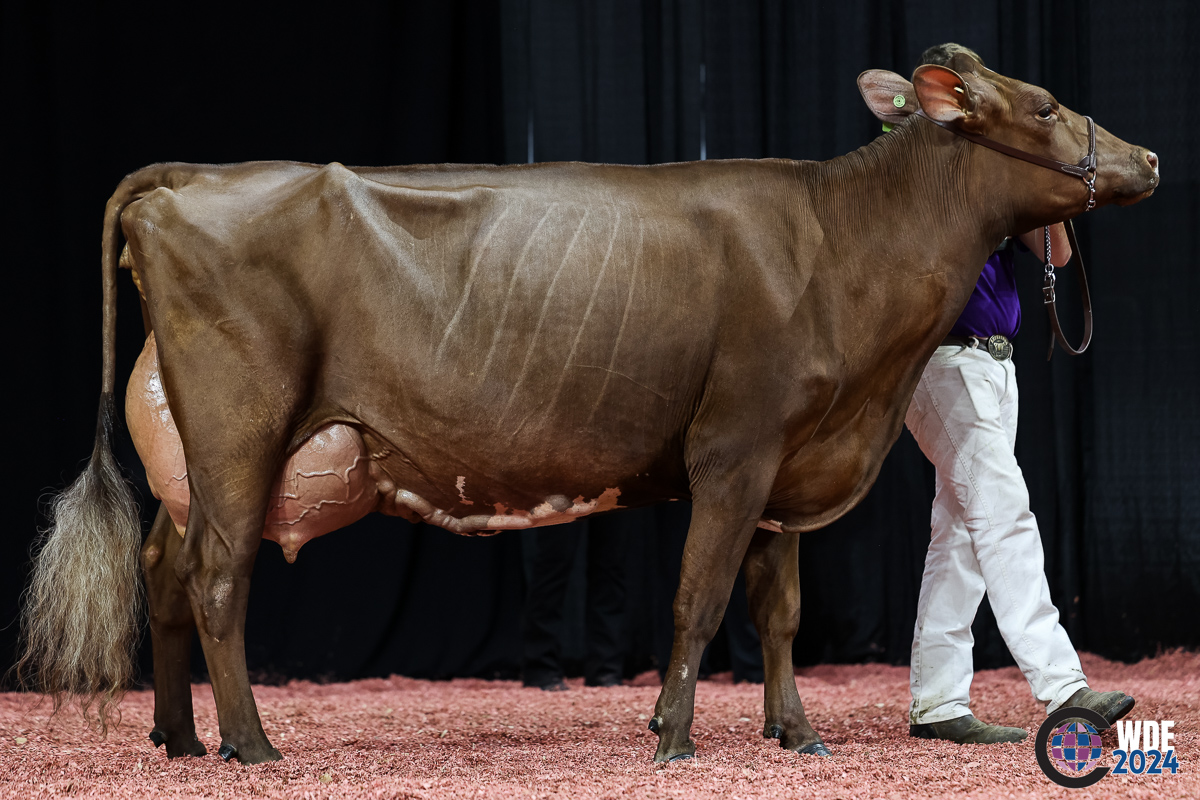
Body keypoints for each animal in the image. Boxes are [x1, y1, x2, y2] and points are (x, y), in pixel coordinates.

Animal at [18, 54, 1157, 765]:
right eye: (1045, 104)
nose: (1146, 159)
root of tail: (194, 175)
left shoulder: (790, 461)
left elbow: (778, 608)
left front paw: (795, 733)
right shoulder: (735, 448)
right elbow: (698, 597)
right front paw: (674, 735)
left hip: (193, 452)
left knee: (165, 568)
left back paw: (179, 737)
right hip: (240, 429)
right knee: (217, 578)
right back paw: (252, 744)